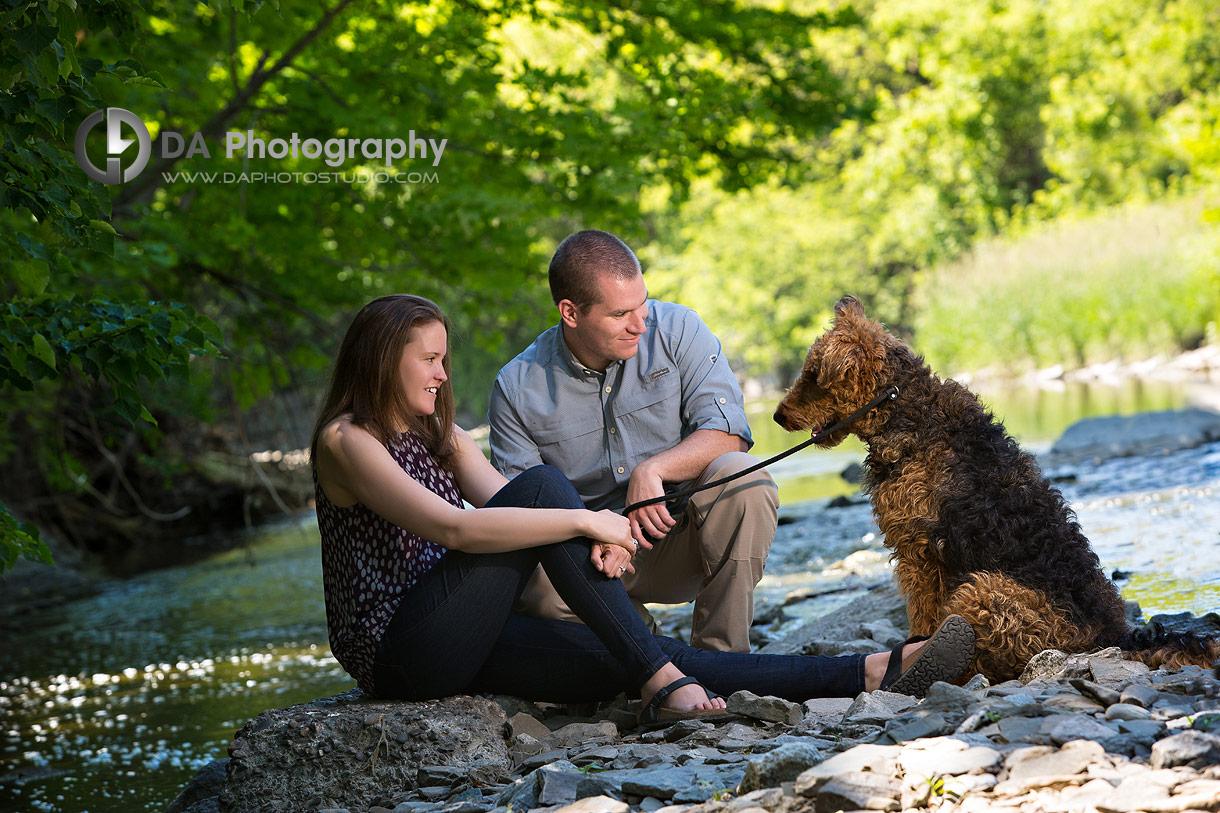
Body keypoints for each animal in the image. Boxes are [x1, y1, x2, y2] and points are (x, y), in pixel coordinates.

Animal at [775, 294, 1215, 678]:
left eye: (813, 375)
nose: (778, 416)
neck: (905, 410)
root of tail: (1115, 637)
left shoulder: (918, 553)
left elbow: (923, 616)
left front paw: (914, 652)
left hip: (984, 591)